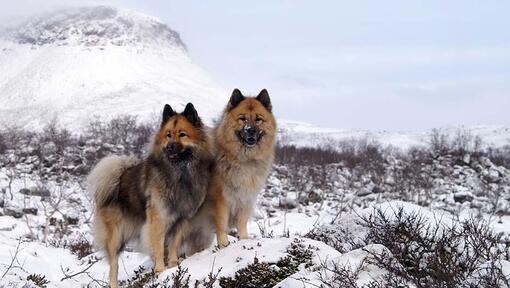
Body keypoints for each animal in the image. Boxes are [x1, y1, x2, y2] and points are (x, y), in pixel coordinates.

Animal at [88, 102, 212, 286]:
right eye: (168, 135)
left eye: (182, 134)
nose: (170, 147)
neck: (179, 174)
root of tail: (118, 178)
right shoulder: (158, 221)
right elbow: (159, 248)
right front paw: (160, 270)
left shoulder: (181, 220)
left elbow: (174, 245)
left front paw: (174, 266)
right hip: (115, 238)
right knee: (113, 267)